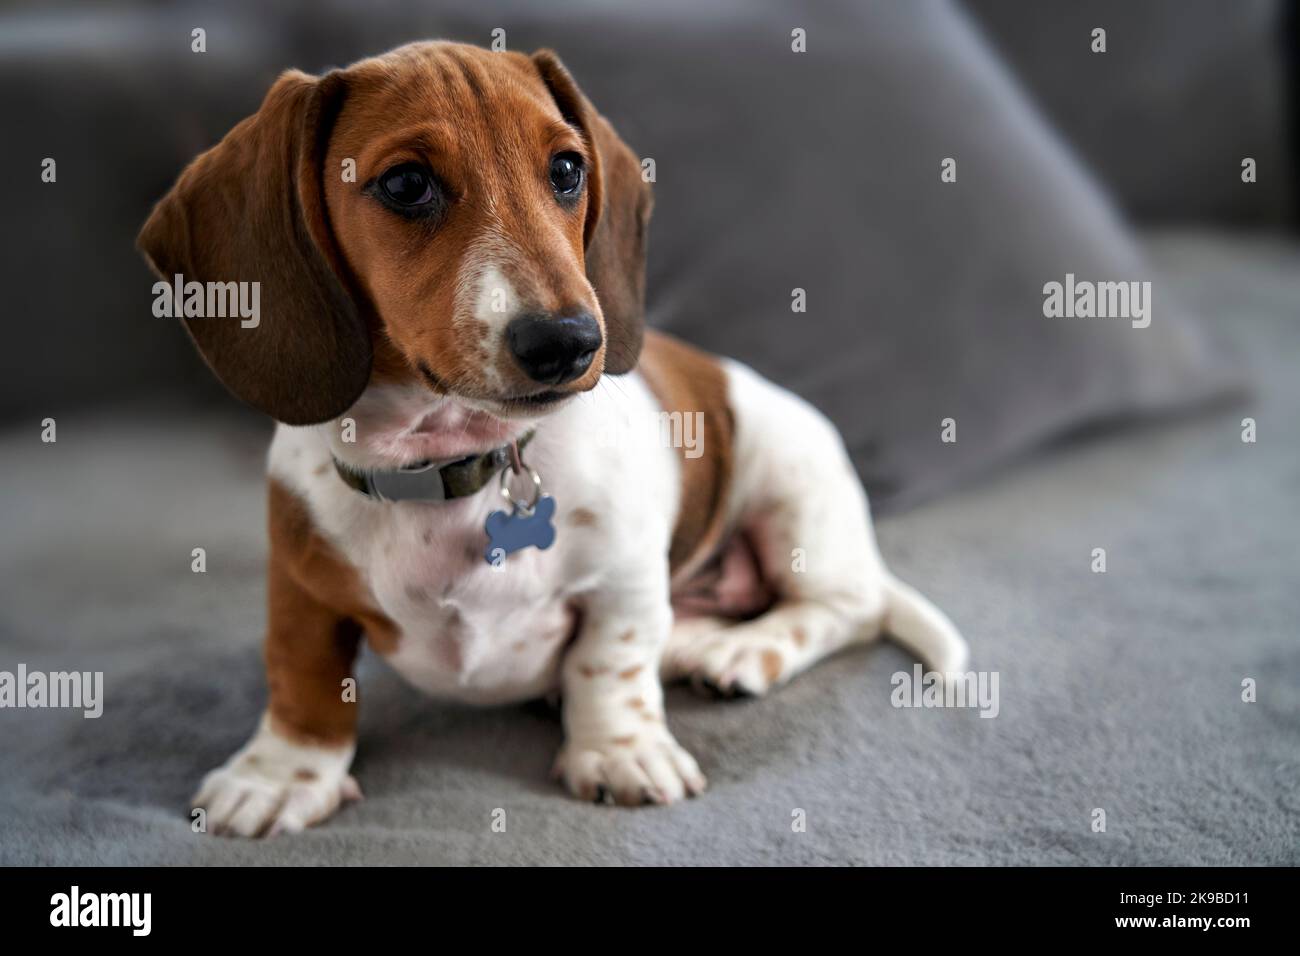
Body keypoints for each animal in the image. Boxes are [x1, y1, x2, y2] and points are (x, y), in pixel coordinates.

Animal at [139, 41, 967, 837]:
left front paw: (620, 750)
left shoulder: (624, 578)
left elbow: (611, 661)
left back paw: (736, 650)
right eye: (406, 184)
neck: (449, 458)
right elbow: (302, 678)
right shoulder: (302, 591)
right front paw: (280, 775)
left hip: (794, 494)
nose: (568, 342)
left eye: (567, 169)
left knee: (845, 608)